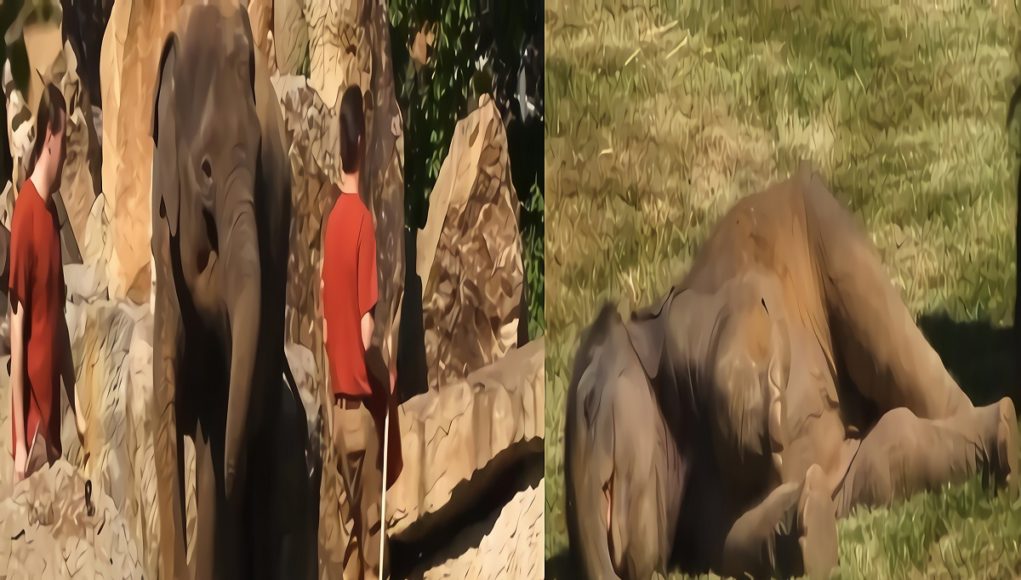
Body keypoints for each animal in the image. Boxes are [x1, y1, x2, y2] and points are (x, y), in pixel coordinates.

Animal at [567, 164, 1021, 580]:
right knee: (891, 446)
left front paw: (775, 427)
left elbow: (746, 315)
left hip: (827, 235)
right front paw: (808, 517)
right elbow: (735, 536)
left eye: (589, 405)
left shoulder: (697, 316)